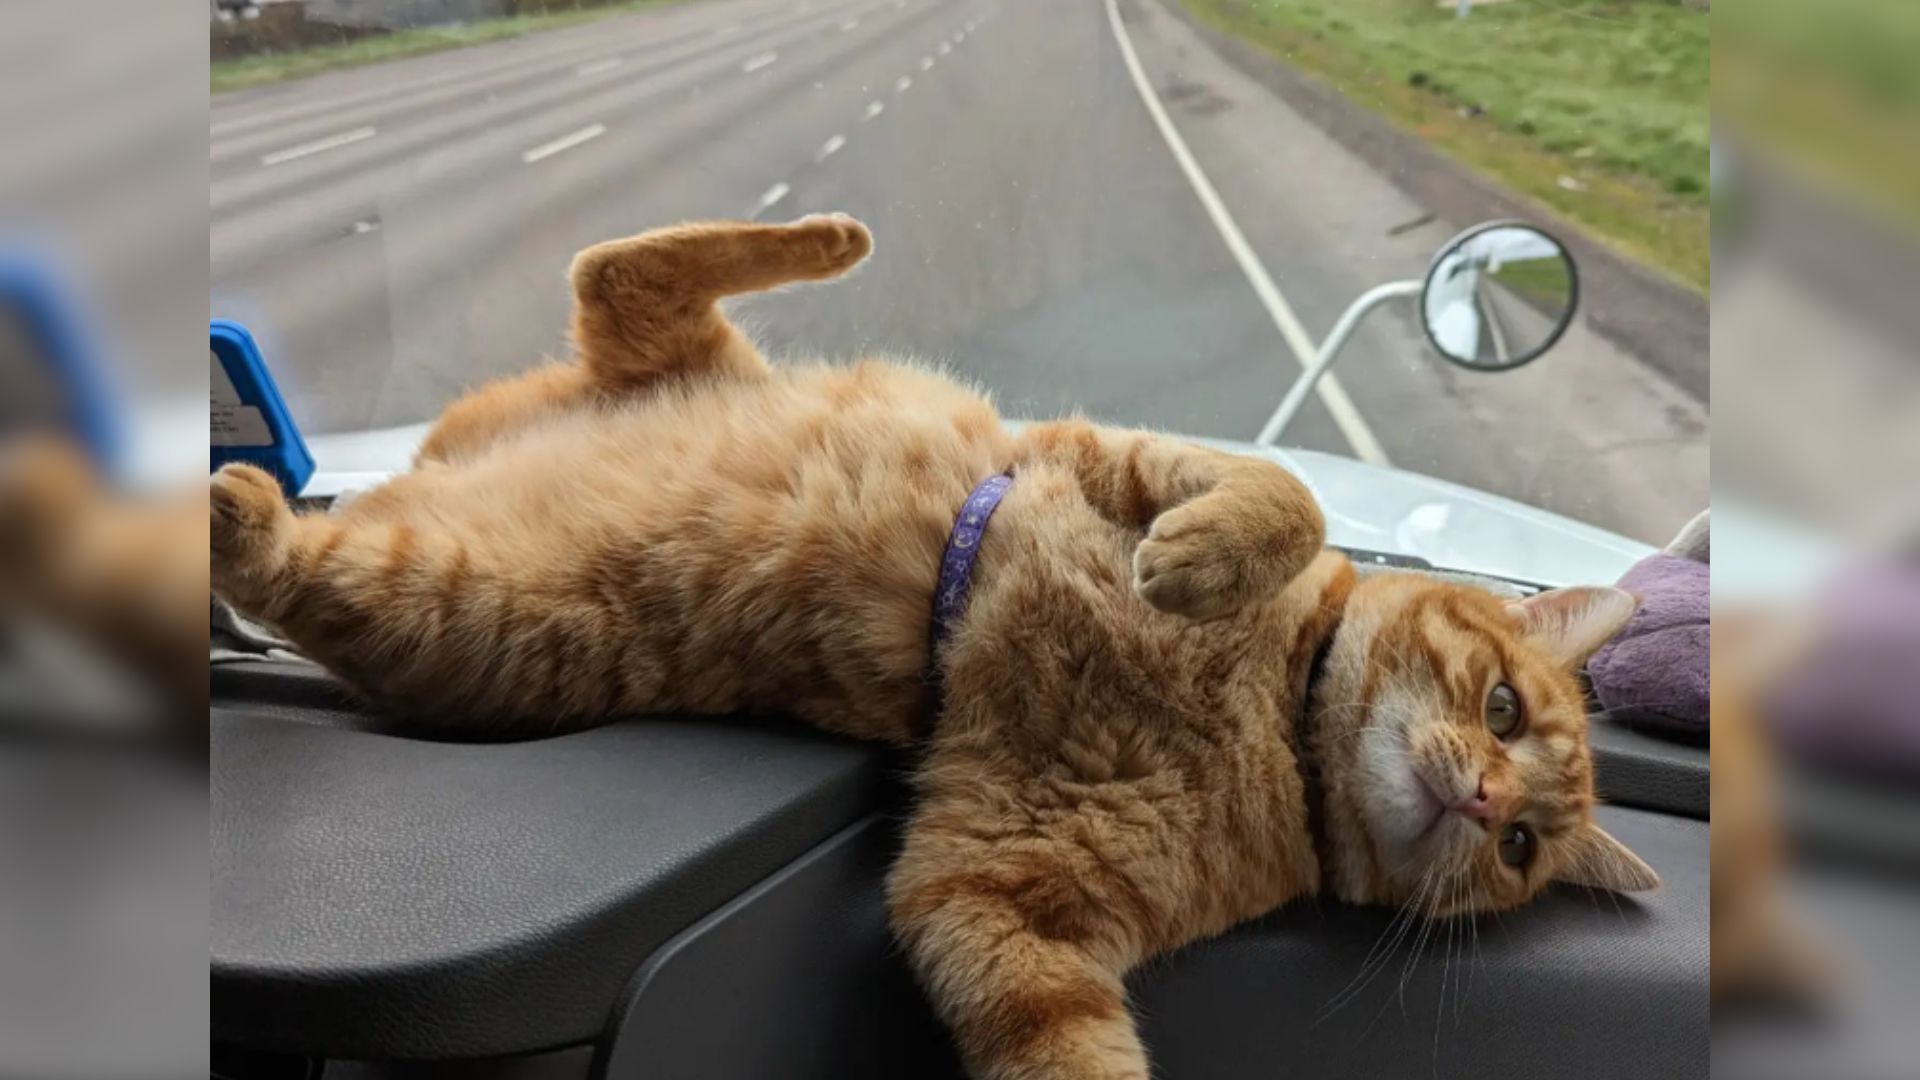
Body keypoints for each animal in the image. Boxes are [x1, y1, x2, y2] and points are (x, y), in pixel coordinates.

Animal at [206, 212, 1651, 1076]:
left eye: (1524, 848)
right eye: (1506, 710)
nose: (1485, 798)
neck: (1270, 713)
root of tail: (419, 466)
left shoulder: (996, 901)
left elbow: (1068, 1046)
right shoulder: (1102, 456)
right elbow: (1281, 493)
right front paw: (1198, 559)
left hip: (458, 609)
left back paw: (231, 504)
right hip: (601, 432)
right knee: (621, 263)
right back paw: (822, 234)